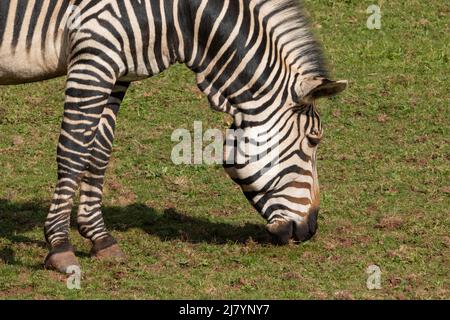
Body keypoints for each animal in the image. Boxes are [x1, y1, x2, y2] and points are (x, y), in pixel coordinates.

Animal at [0, 0, 348, 274]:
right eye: (314, 140)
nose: (310, 230)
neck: (181, 17)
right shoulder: (93, 57)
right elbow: (74, 151)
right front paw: (59, 245)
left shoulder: (117, 71)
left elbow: (99, 152)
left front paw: (99, 237)